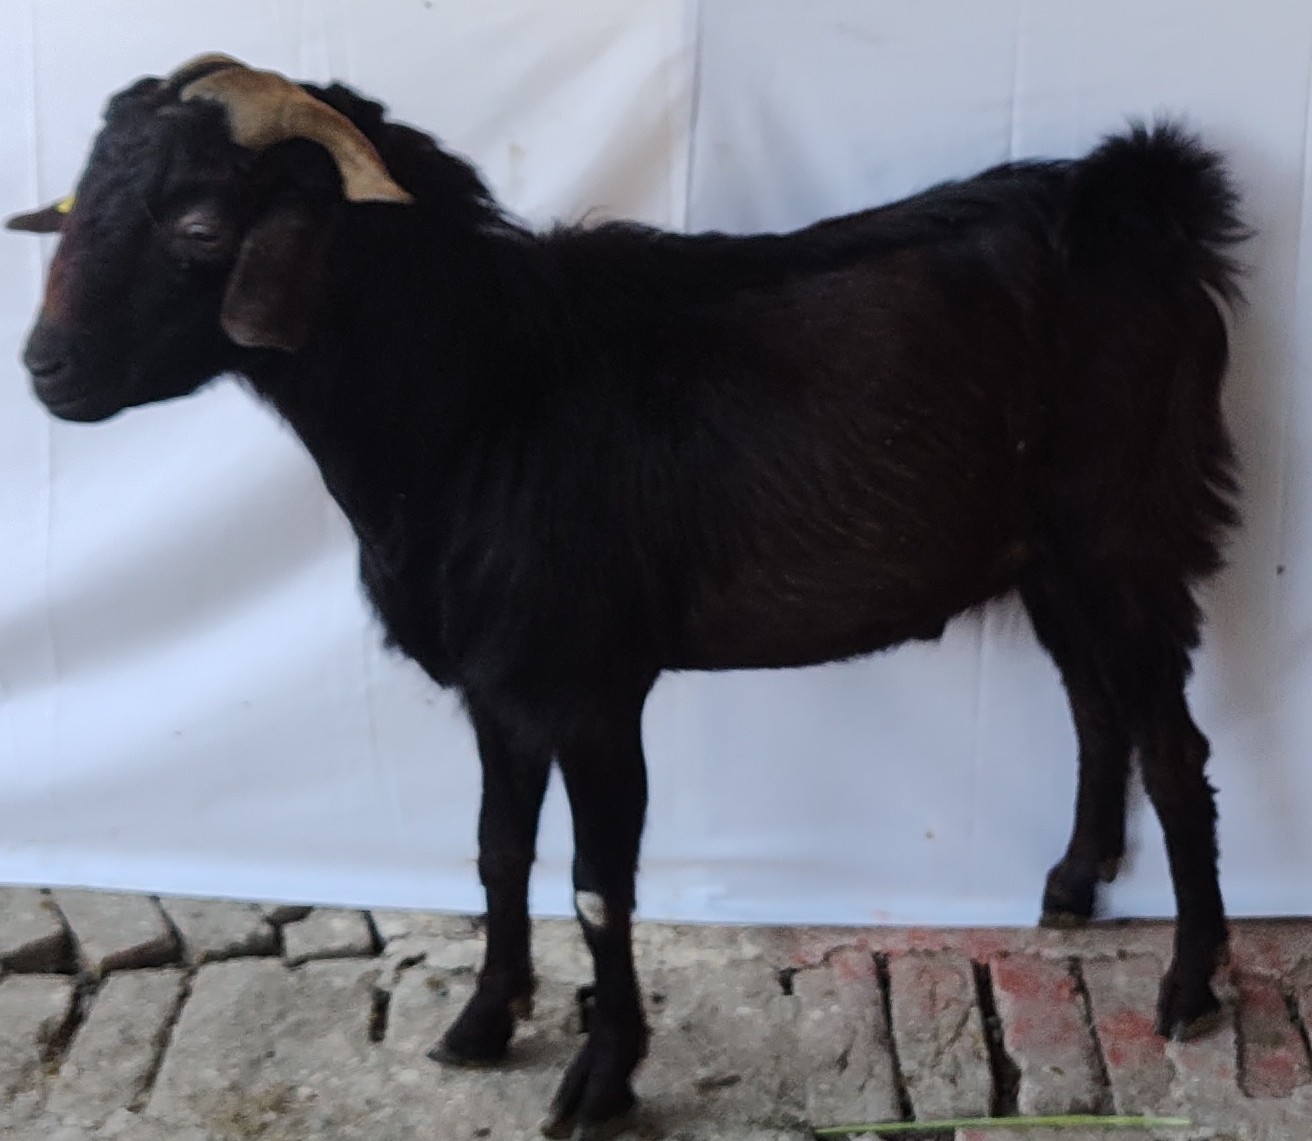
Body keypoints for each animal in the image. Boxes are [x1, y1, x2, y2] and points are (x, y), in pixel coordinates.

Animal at [7, 54, 1245, 1139]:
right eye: (79, 203)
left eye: (200, 226)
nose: (46, 369)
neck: (484, 397)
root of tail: (1139, 204)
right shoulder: (499, 683)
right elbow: (497, 849)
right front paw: (483, 1020)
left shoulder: (593, 682)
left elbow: (598, 886)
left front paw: (600, 1081)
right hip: (1048, 556)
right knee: (1095, 707)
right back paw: (1074, 883)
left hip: (1123, 533)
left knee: (1173, 746)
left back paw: (1190, 988)